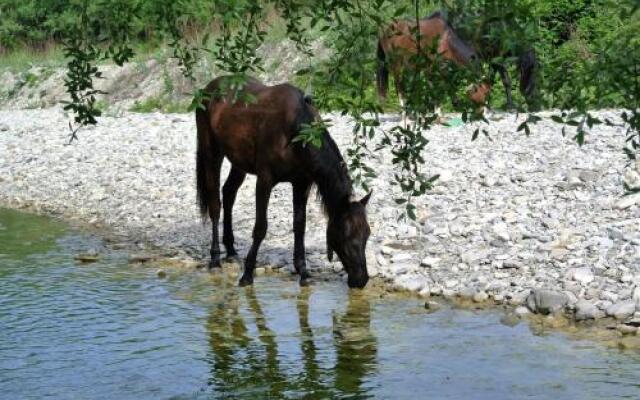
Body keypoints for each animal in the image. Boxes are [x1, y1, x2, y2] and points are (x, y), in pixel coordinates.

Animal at [198, 76, 372, 288]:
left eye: (367, 234)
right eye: (346, 234)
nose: (361, 279)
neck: (294, 132)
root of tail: (209, 88)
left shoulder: (301, 184)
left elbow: (300, 226)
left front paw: (303, 271)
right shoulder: (265, 181)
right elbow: (260, 228)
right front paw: (247, 274)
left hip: (238, 162)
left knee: (229, 193)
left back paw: (230, 250)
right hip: (211, 152)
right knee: (215, 203)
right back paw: (215, 258)